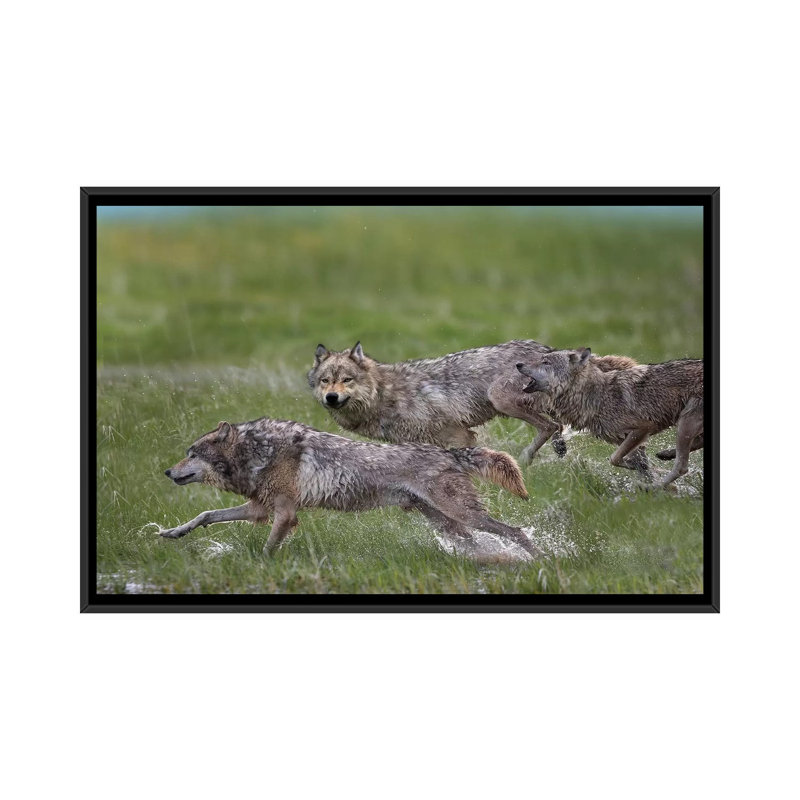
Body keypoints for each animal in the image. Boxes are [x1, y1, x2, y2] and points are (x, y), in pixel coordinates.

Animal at [161, 418, 542, 558]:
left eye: (191, 454)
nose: (166, 471)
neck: (258, 450)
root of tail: (448, 452)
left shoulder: (284, 514)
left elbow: (267, 550)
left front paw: (258, 566)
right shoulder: (259, 508)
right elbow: (206, 514)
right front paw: (172, 532)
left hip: (460, 514)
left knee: (516, 531)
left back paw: (541, 559)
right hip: (446, 522)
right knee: (478, 544)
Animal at [516, 349, 703, 487]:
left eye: (546, 362)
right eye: (541, 359)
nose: (518, 363)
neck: (597, 395)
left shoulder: (643, 428)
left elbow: (614, 458)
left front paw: (640, 472)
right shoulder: (629, 440)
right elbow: (636, 464)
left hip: (685, 424)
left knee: (681, 467)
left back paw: (655, 487)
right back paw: (665, 455)